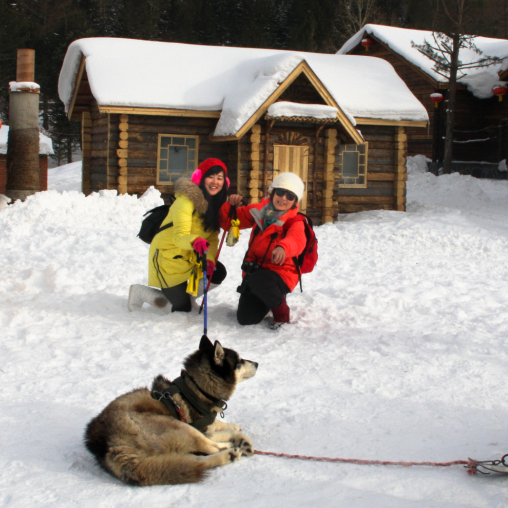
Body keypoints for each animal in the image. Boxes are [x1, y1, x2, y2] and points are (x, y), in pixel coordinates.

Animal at [85, 336, 258, 486]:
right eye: (239, 361)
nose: (256, 363)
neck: (196, 389)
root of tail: (111, 443)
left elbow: (219, 425)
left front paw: (233, 428)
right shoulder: (197, 426)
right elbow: (215, 431)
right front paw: (235, 434)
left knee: (195, 461)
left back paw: (229, 455)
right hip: (178, 427)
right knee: (211, 447)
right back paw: (233, 448)